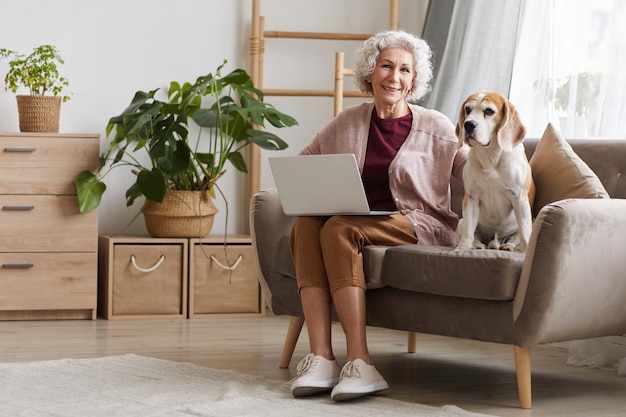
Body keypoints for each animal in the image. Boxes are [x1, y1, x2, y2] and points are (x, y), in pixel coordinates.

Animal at [450, 92, 532, 252]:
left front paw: (527, 252)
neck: (490, 157)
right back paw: (476, 245)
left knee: (516, 238)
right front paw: (462, 248)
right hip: (461, 221)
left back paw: (508, 246)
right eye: (468, 109)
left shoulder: (520, 200)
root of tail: (494, 241)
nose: (468, 124)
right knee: (473, 234)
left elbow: (525, 234)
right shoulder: (471, 198)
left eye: (489, 111)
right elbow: (469, 230)